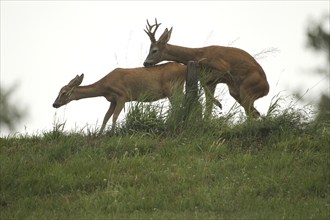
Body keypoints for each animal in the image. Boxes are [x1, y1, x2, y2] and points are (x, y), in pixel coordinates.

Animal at [52, 62, 187, 134]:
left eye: (64, 92)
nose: (54, 104)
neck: (104, 86)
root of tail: (184, 68)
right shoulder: (112, 100)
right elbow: (106, 117)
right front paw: (100, 133)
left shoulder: (123, 95)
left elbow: (115, 116)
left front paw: (112, 133)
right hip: (178, 88)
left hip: (172, 88)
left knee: (177, 106)